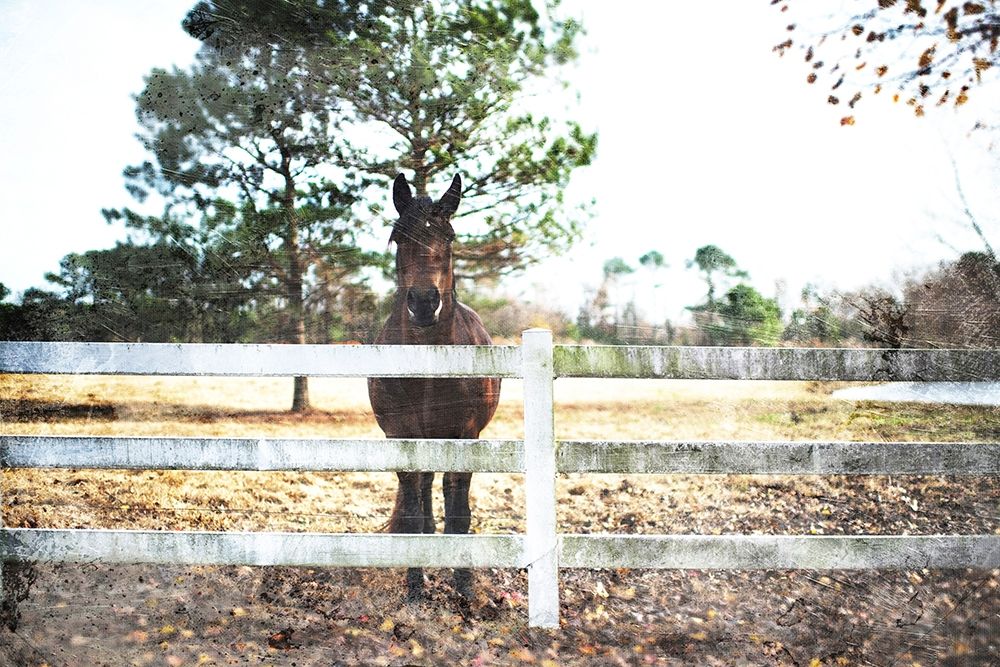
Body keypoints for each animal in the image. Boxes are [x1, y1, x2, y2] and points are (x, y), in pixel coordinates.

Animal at [368, 172, 501, 601]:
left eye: (450, 236)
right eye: (398, 237)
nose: (425, 303)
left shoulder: (466, 435)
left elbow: (459, 512)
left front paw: (465, 587)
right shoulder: (402, 436)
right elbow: (412, 513)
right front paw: (414, 589)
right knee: (425, 490)